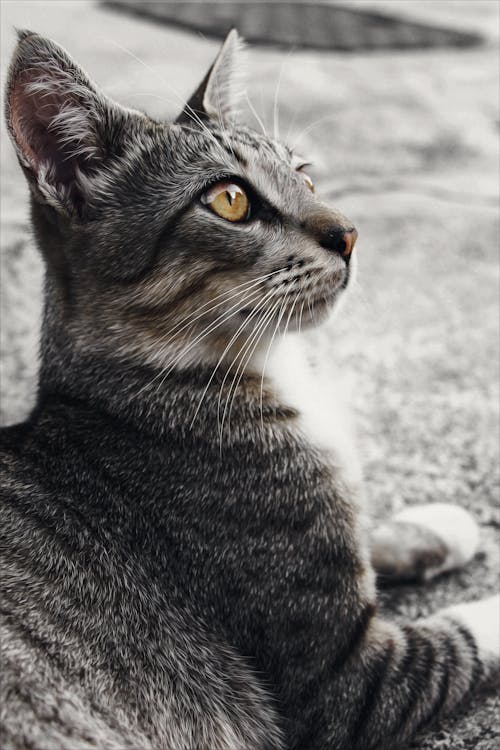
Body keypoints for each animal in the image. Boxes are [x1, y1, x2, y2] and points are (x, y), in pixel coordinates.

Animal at [0, 27, 498, 750]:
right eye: (230, 199)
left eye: (307, 175)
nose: (350, 232)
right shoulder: (347, 684)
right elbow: (462, 633)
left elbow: (369, 533)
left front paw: (437, 524)